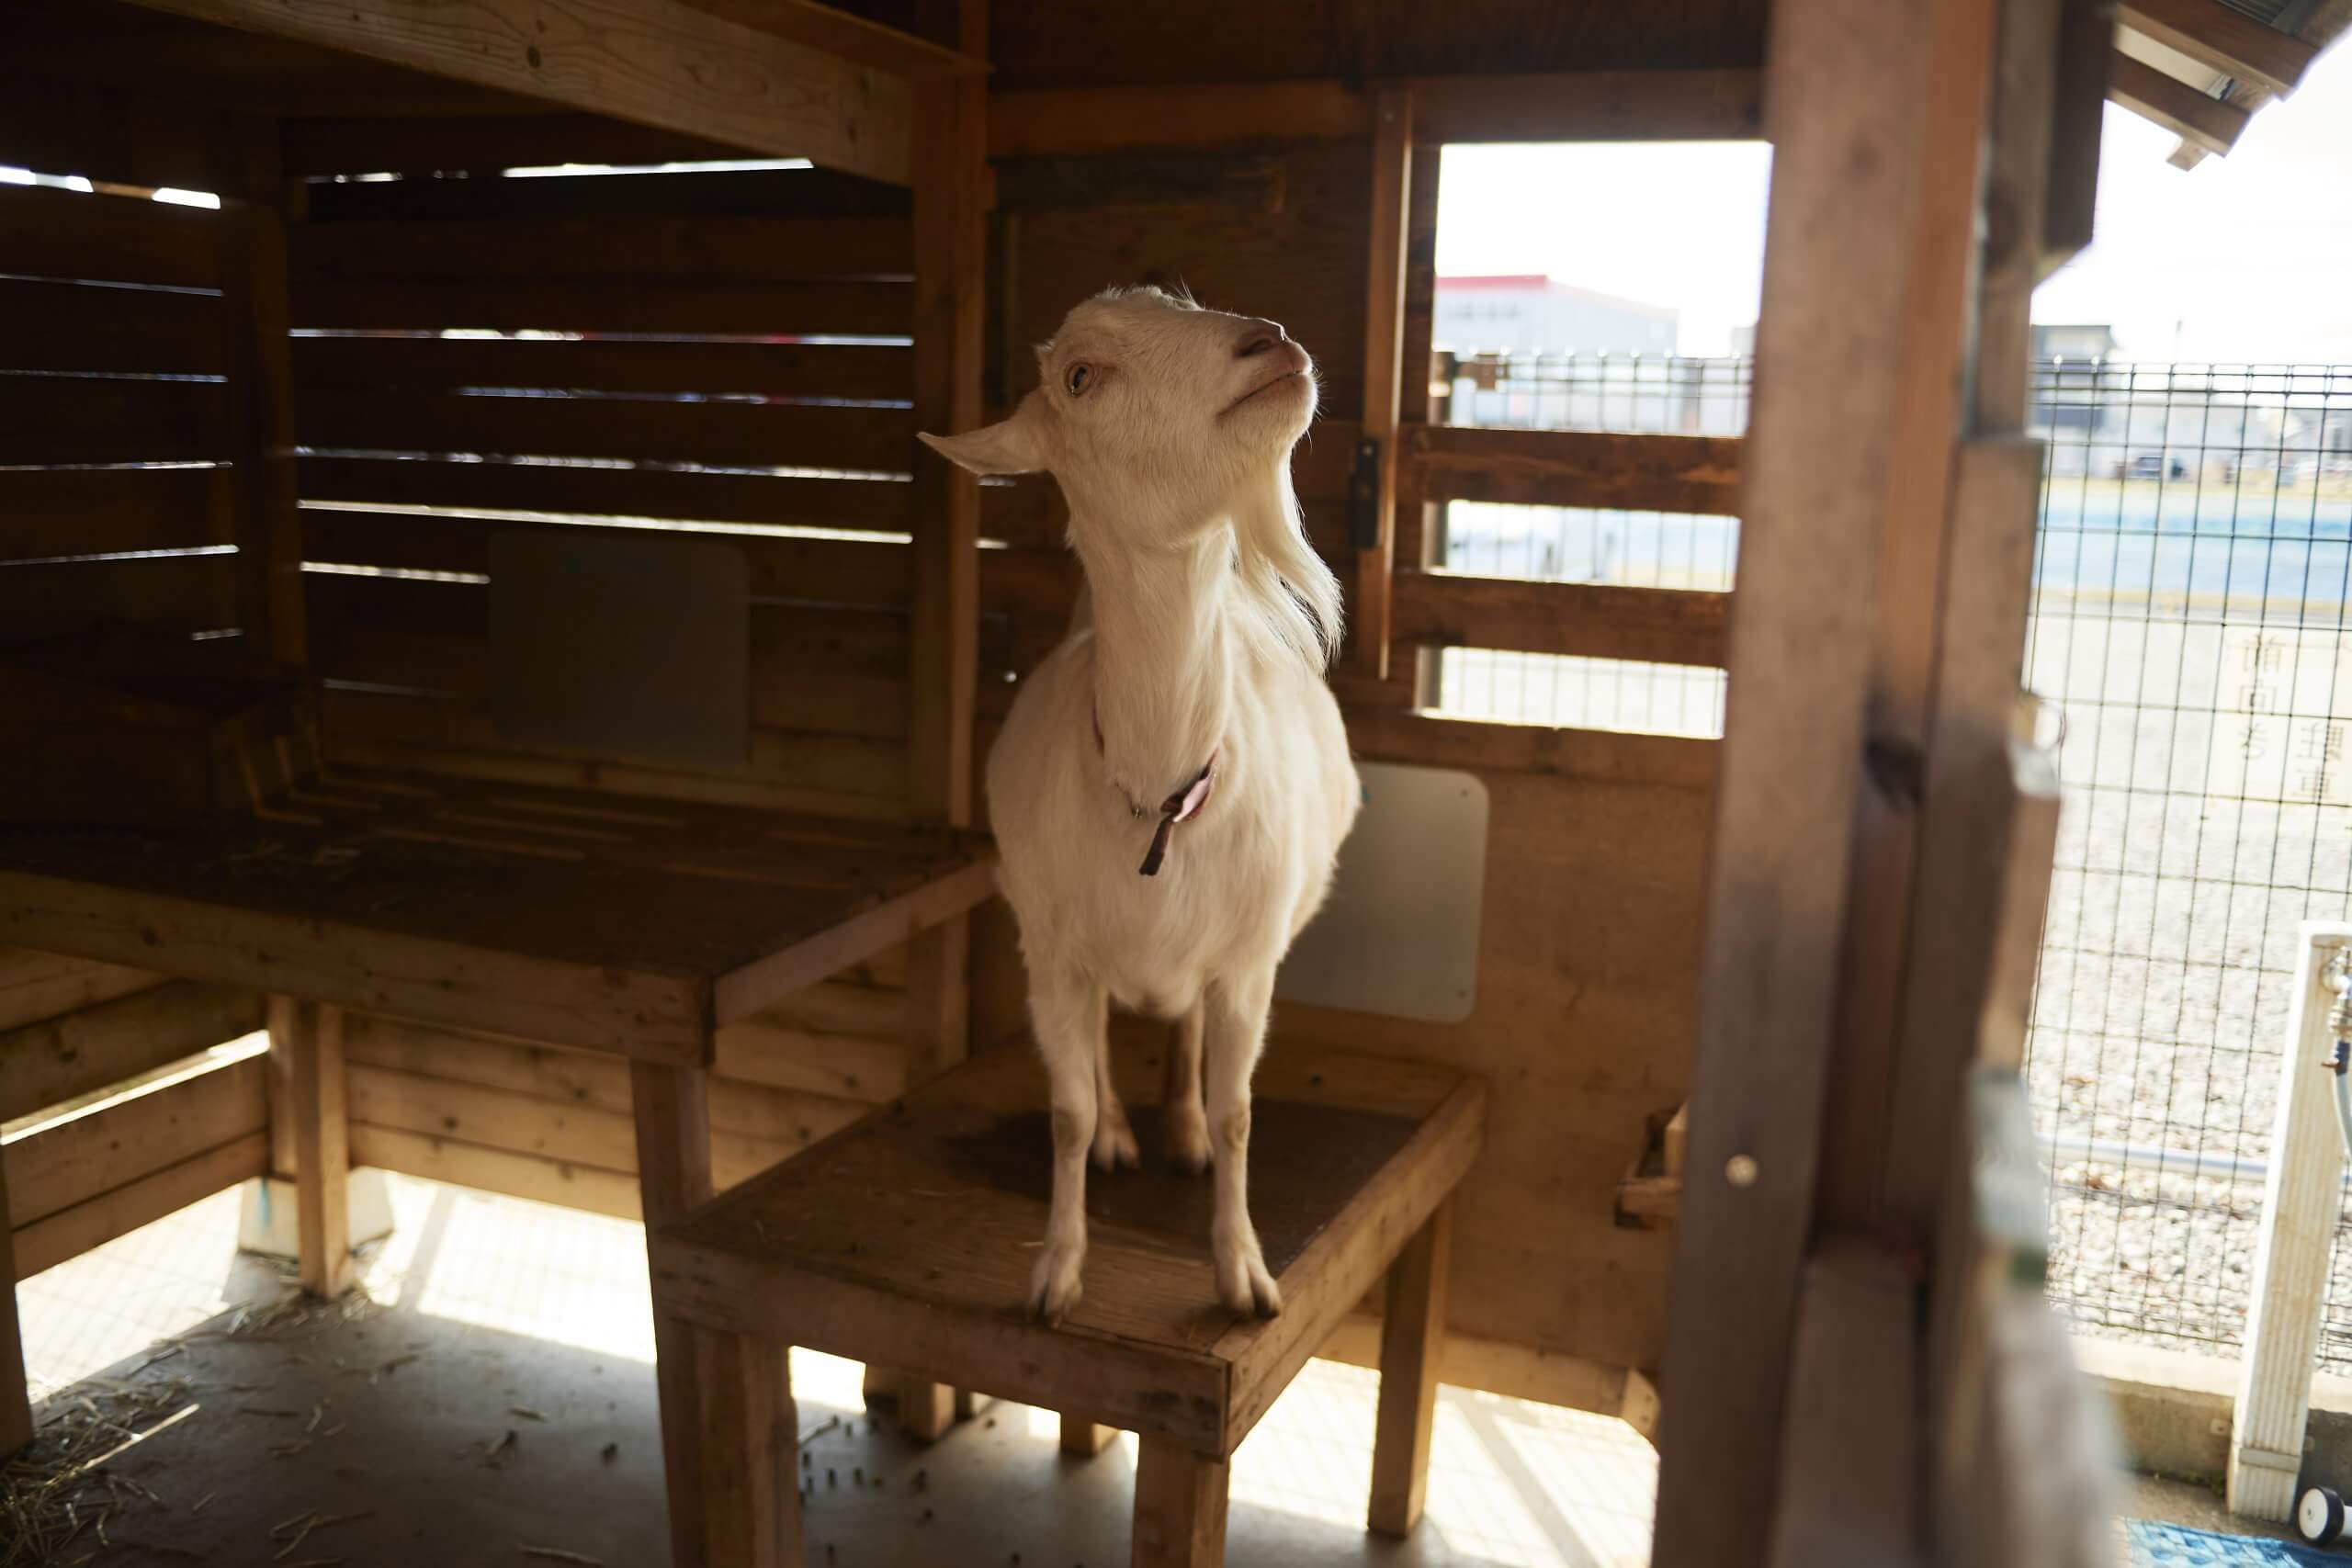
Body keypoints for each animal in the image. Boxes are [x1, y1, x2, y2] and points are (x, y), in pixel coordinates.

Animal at [917, 285, 1363, 1325]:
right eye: (1081, 375)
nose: (1270, 344)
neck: (1160, 791)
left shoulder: (1248, 960)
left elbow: (1240, 1113)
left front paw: (1242, 1271)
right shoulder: (1052, 951)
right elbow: (1066, 1108)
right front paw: (1057, 1271)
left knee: (1183, 1029)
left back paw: (1181, 1128)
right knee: (1096, 1048)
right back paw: (1128, 1129)